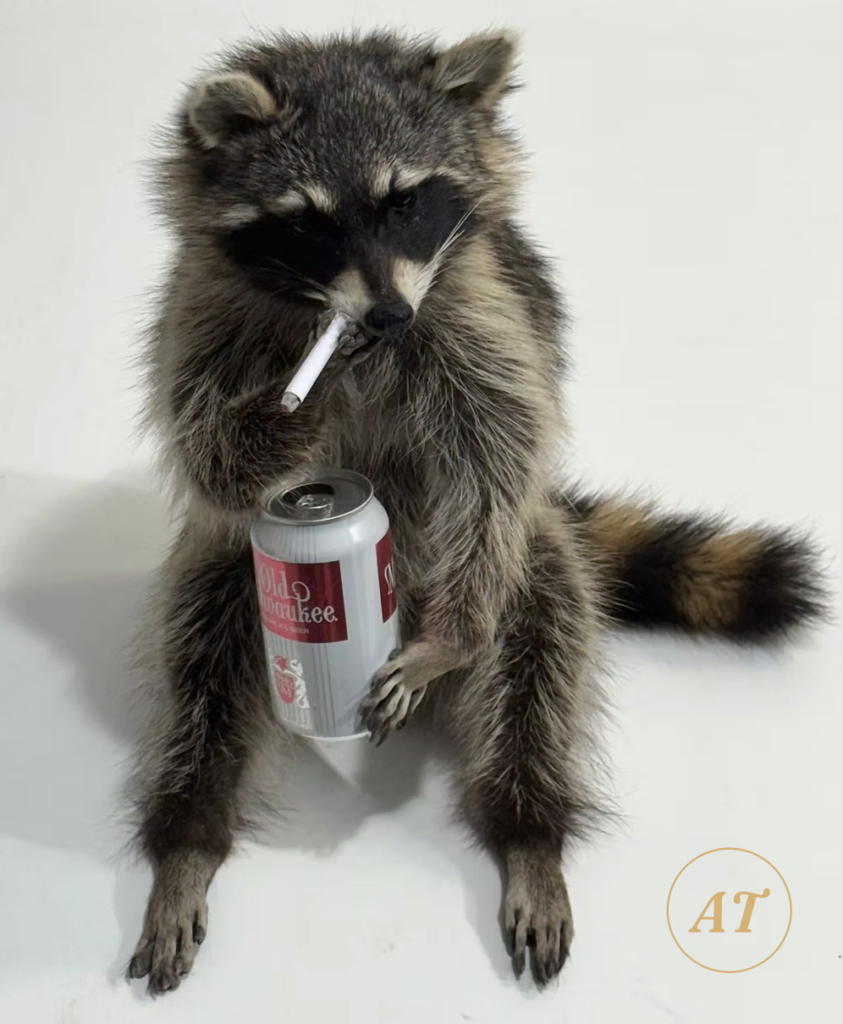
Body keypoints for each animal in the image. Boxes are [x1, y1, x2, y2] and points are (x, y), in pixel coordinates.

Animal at [126, 30, 825, 993]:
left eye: (406, 201)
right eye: (310, 222)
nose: (385, 314)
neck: (344, 328)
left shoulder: (481, 309)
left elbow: (502, 448)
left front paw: (456, 646)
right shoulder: (200, 312)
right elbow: (210, 458)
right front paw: (287, 413)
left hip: (523, 555)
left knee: (540, 632)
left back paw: (527, 826)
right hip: (229, 571)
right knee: (200, 661)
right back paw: (189, 832)